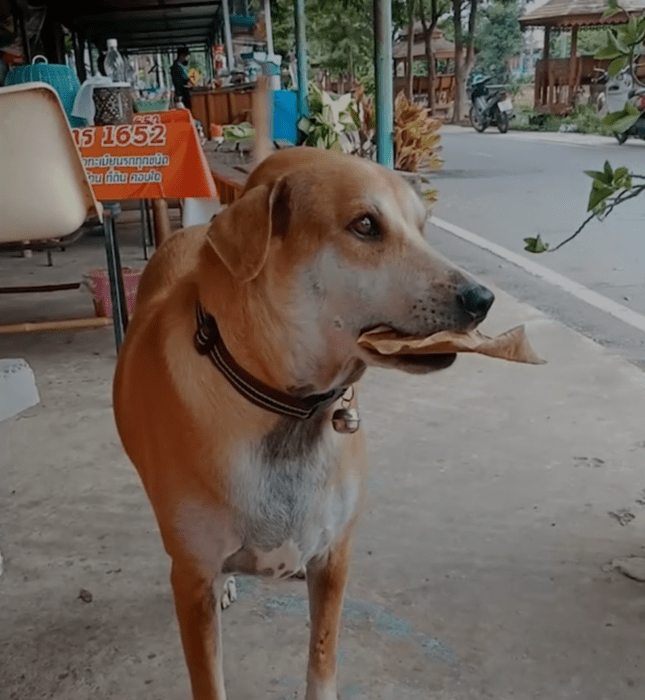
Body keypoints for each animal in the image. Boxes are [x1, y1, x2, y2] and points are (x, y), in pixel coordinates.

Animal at [112, 148, 494, 700]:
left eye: (423, 227)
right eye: (365, 225)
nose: (482, 299)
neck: (285, 409)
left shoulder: (335, 558)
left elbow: (322, 655)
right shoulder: (191, 579)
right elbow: (209, 677)